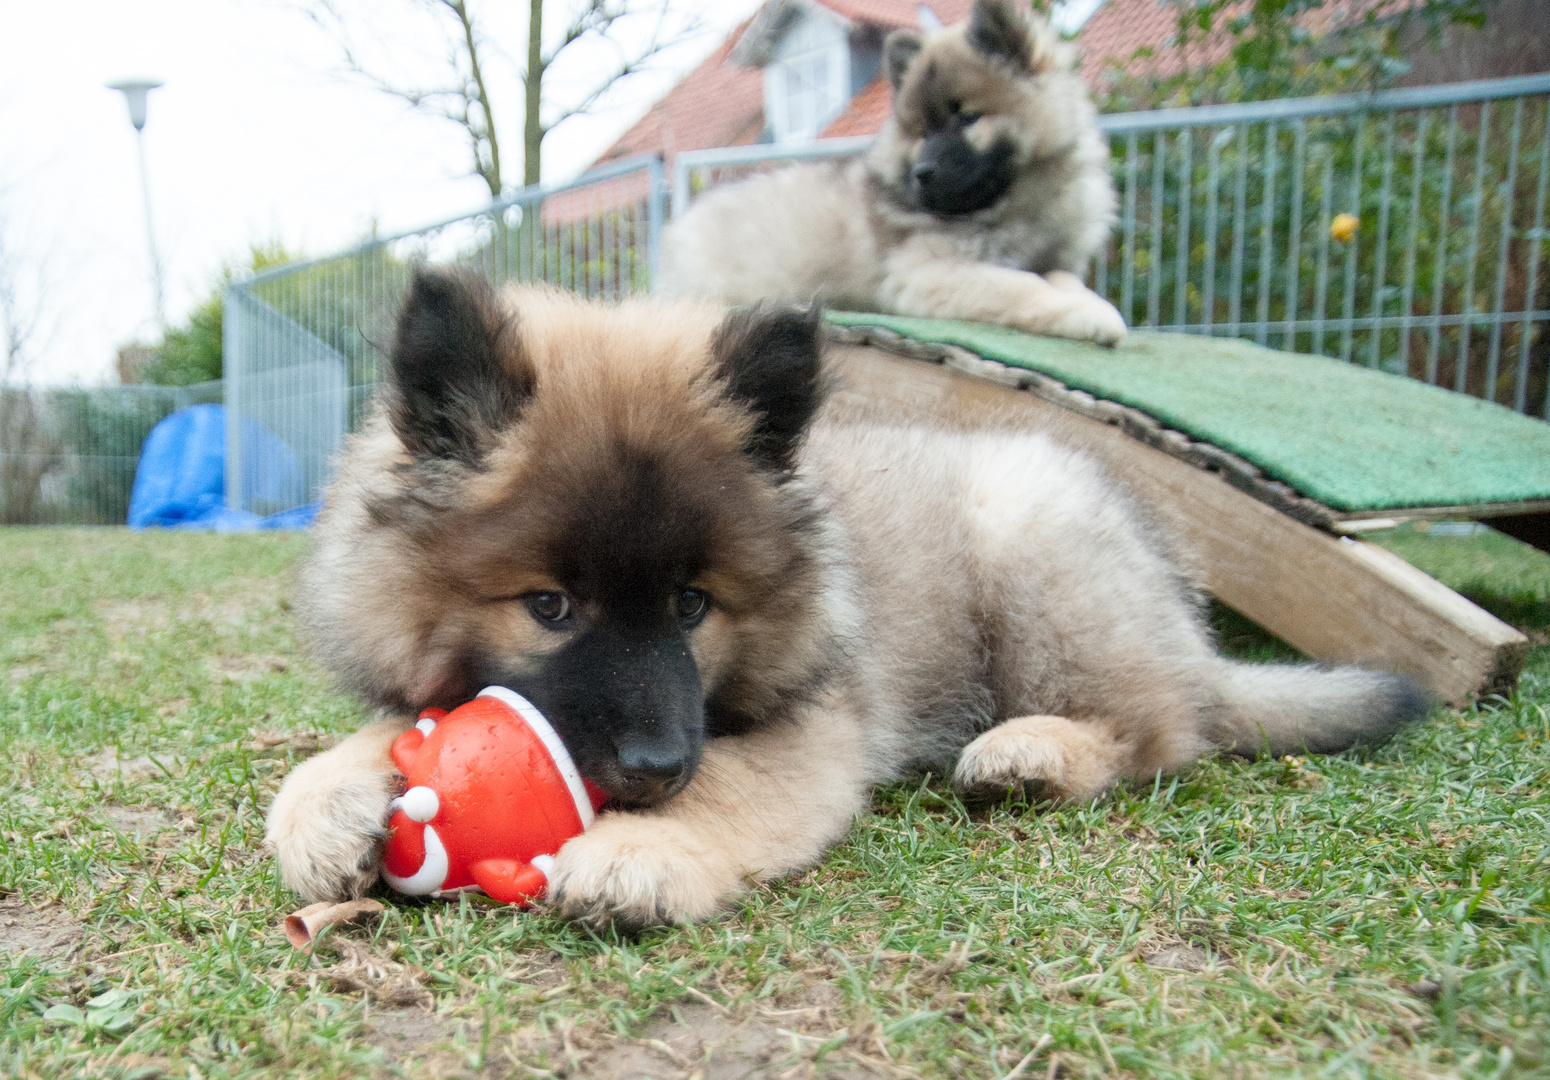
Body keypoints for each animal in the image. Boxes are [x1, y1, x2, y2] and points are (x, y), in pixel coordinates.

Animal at [263, 271, 1426, 929]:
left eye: (693, 604)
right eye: (550, 605)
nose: (657, 767)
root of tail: (1187, 631)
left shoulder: (813, 726)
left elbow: (733, 788)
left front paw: (644, 848)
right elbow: (385, 733)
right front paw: (326, 800)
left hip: (1033, 545)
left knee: (1160, 731)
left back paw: (1032, 753)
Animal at [657, 0, 1128, 345]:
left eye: (967, 118)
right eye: (922, 132)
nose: (922, 172)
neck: (1015, 202)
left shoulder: (1054, 256)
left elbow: (1059, 277)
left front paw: (1089, 302)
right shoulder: (928, 273)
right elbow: (1021, 285)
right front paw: (1088, 315)